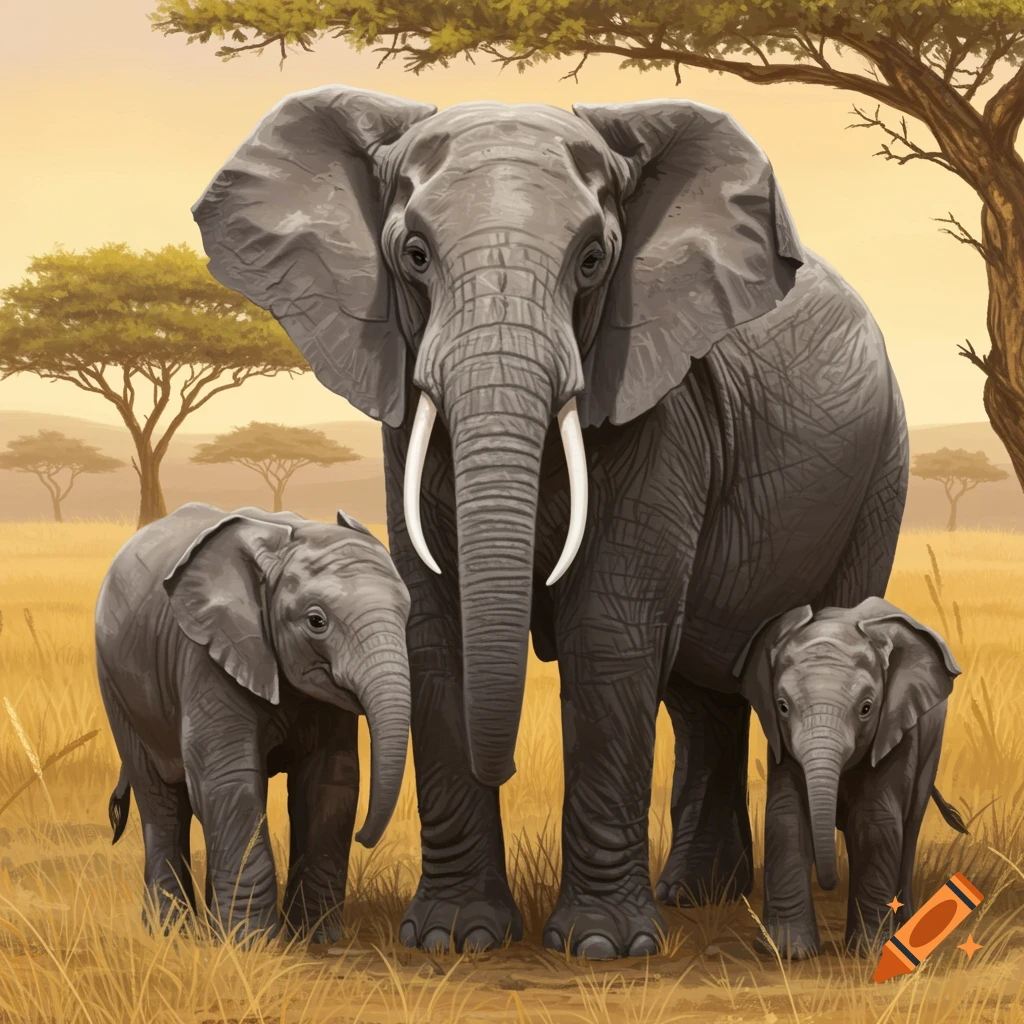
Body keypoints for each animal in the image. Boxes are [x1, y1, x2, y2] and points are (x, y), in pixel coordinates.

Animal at [95, 502, 411, 944]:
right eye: (316, 621)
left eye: (407, 613)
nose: (365, 838)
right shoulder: (205, 658)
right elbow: (226, 777)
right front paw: (251, 944)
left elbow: (331, 781)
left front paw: (317, 939)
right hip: (118, 685)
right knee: (161, 801)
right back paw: (171, 933)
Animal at [190, 85, 910, 960]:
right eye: (415, 255)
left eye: (594, 261)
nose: (502, 767)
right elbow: (437, 627)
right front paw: (455, 939)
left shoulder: (660, 404)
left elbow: (609, 630)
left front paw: (604, 948)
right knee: (700, 692)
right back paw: (699, 894)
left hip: (881, 470)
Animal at [733, 597, 969, 959]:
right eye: (782, 706)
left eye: (867, 708)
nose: (828, 883)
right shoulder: (781, 743)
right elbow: (786, 816)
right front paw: (786, 952)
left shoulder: (896, 727)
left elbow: (873, 821)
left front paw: (872, 952)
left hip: (932, 742)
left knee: (910, 824)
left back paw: (905, 928)